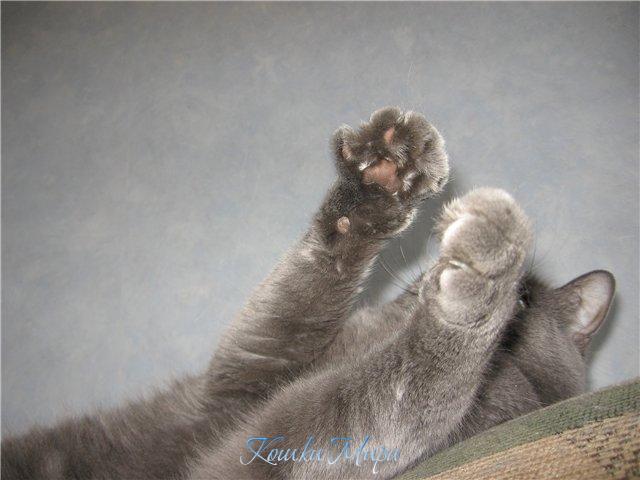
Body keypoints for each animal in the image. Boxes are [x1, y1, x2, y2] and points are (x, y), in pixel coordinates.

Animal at [1, 107, 615, 480]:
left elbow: (387, 389)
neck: (376, 335)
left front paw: (479, 277)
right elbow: (298, 295)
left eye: (523, 308)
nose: (433, 274)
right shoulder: (242, 377)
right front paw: (386, 172)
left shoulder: (274, 441)